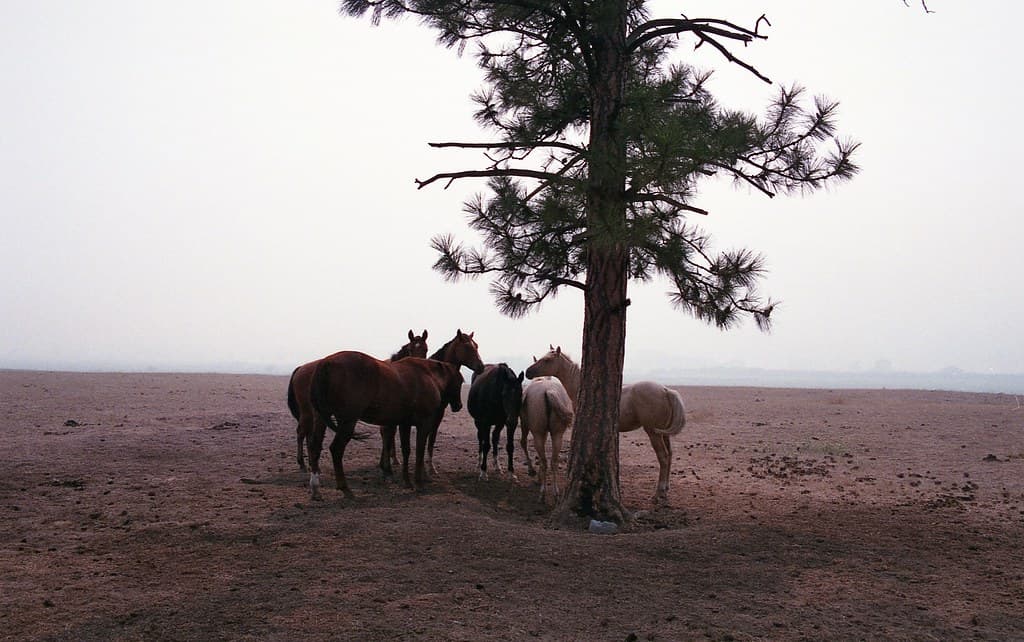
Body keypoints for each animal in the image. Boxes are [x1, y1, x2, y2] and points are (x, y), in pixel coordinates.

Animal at [286, 330, 428, 472]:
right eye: (410, 349)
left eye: (425, 349)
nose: (419, 363)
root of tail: (301, 368)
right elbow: (388, 435)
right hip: (309, 413)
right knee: (302, 433)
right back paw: (303, 464)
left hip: (318, 414)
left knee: (310, 437)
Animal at [308, 352, 464, 499]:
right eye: (461, 381)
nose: (459, 406)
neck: (427, 375)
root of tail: (326, 363)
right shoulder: (423, 424)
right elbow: (419, 451)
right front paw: (418, 483)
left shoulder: (404, 424)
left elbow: (406, 450)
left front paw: (407, 481)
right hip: (347, 422)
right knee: (336, 449)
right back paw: (344, 488)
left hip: (321, 419)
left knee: (315, 447)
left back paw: (315, 488)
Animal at [525, 345, 687, 505]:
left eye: (547, 360)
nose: (527, 372)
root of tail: (666, 391)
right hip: (663, 433)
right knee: (670, 455)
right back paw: (665, 491)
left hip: (654, 433)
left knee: (663, 457)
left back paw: (657, 494)